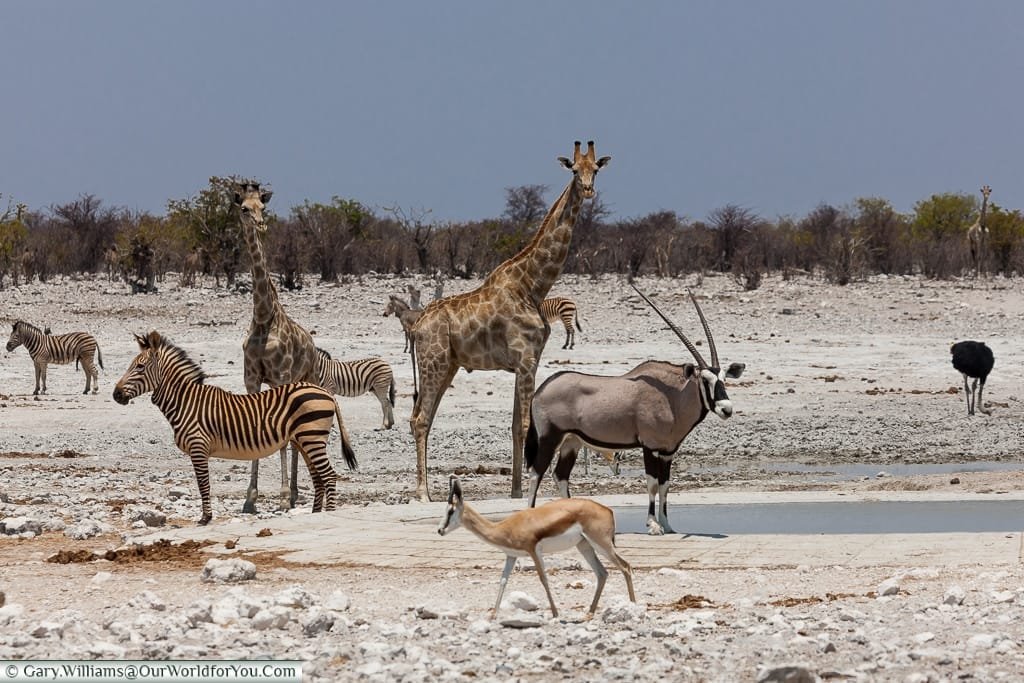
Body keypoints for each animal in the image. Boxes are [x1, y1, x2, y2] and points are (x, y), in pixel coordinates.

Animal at [112, 331, 358, 528]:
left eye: (140, 366)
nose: (115, 395)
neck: (186, 402)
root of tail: (325, 393)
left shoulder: (198, 447)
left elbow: (203, 485)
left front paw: (205, 518)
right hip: (303, 440)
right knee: (319, 478)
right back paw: (316, 514)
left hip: (311, 438)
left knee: (329, 476)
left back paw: (328, 515)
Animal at [234, 181, 319, 511]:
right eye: (244, 208)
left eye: (263, 207)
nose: (261, 224)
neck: (262, 316)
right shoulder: (252, 379)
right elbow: (255, 426)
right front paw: (250, 498)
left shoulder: (281, 376)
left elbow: (282, 436)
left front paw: (282, 497)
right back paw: (294, 493)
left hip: (306, 378)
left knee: (295, 436)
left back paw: (293, 494)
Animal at [405, 140, 606, 501]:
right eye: (573, 170)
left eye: (595, 169)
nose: (587, 190)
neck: (534, 286)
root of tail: (415, 327)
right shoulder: (526, 360)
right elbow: (526, 425)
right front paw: (527, 489)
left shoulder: (524, 362)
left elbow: (515, 426)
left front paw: (514, 490)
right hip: (434, 363)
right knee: (421, 419)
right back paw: (423, 493)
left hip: (447, 366)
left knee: (419, 417)